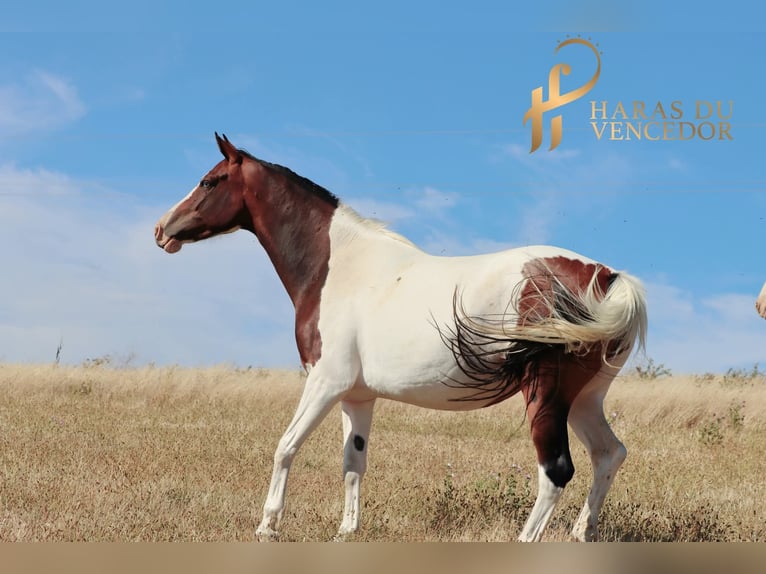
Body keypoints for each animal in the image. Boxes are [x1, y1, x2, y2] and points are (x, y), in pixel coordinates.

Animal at [154, 133, 647, 542]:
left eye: (209, 181)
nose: (161, 229)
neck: (340, 266)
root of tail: (607, 277)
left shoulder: (325, 382)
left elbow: (285, 446)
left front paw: (268, 525)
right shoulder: (357, 396)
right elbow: (353, 462)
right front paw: (346, 532)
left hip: (547, 396)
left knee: (555, 470)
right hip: (584, 399)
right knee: (609, 454)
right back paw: (583, 534)